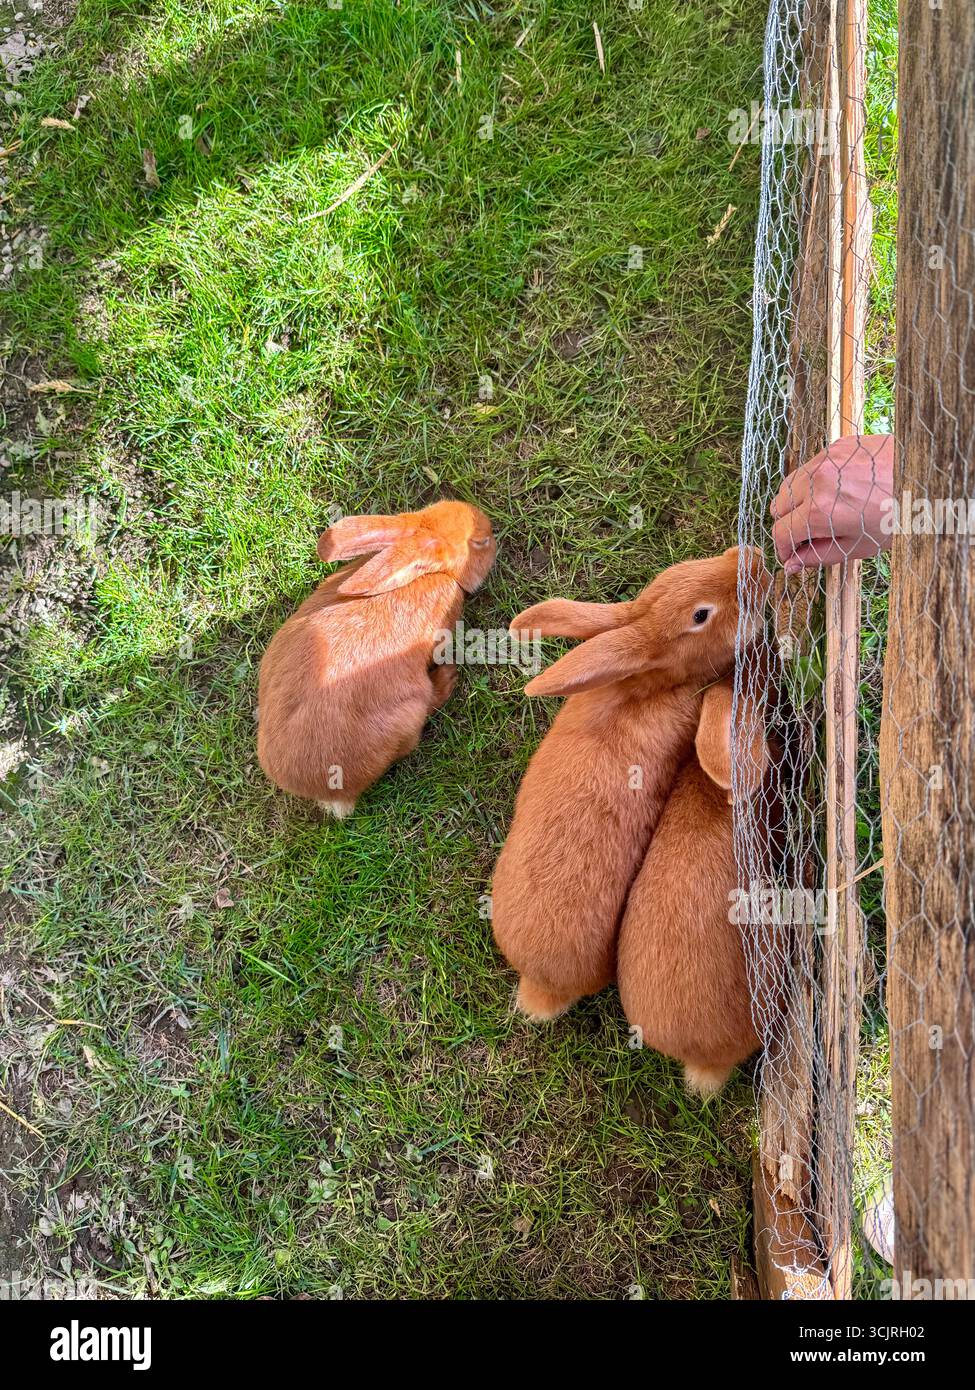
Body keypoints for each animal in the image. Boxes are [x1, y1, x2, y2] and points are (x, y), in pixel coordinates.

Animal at [257, 500, 496, 816]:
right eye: (479, 542)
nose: (491, 529)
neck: (428, 574)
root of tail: (320, 790)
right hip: (409, 712)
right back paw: (447, 678)